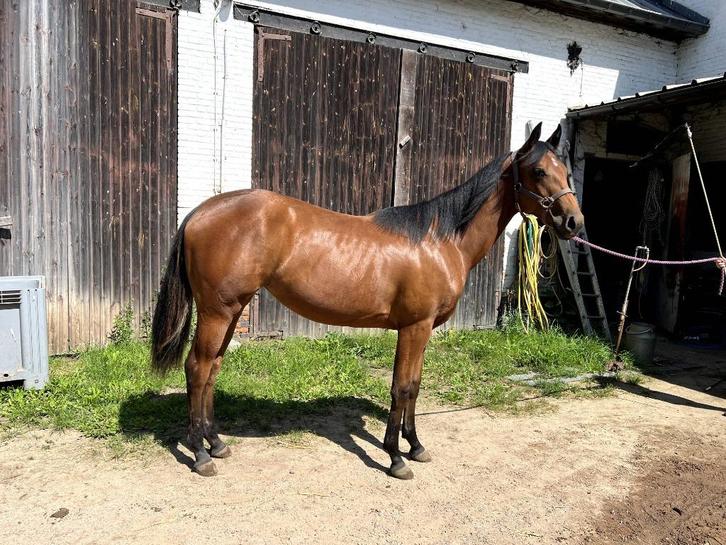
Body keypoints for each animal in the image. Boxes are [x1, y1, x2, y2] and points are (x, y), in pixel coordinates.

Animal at [151, 122, 584, 479]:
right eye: (539, 171)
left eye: (567, 172)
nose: (574, 223)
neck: (439, 242)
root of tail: (199, 213)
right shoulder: (414, 327)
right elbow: (402, 387)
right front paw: (395, 458)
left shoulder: (421, 330)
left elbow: (415, 385)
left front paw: (416, 447)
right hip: (217, 312)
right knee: (197, 368)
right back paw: (200, 455)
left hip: (231, 310)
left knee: (212, 369)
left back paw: (216, 444)